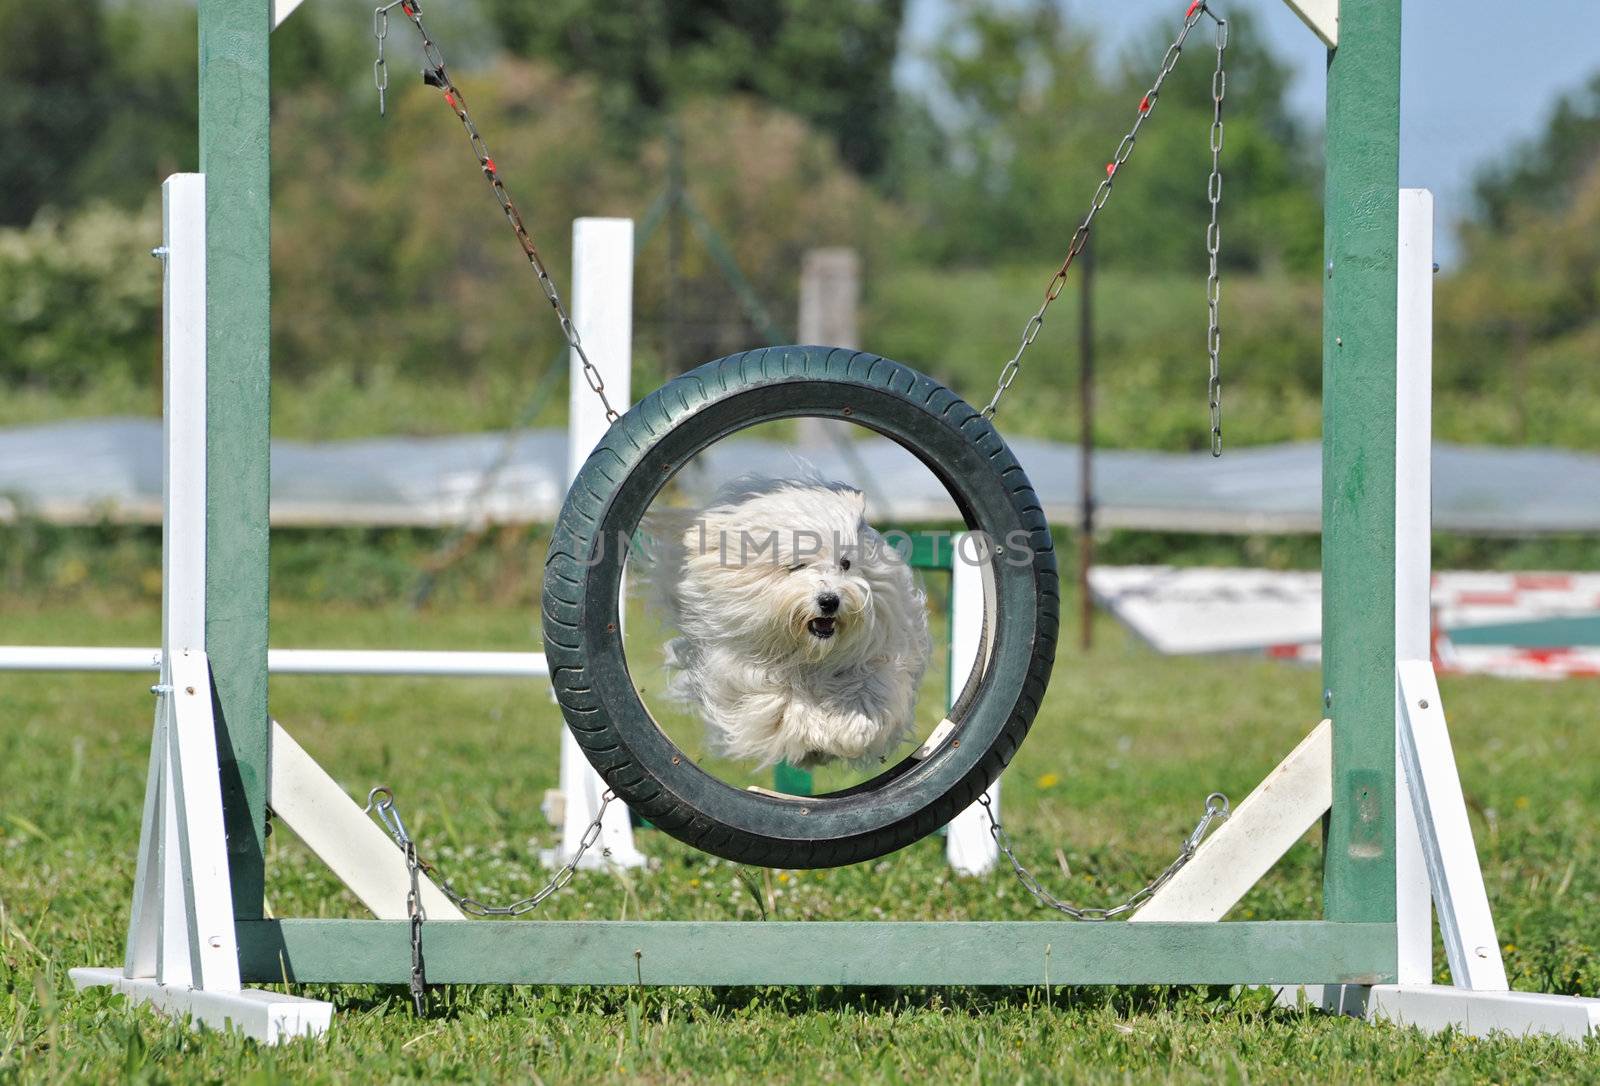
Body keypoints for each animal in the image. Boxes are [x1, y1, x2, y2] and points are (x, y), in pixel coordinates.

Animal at [646, 476, 934, 774]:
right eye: (796, 565)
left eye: (845, 563)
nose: (830, 600)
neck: (806, 652)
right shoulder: (745, 675)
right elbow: (782, 704)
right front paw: (816, 729)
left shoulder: (880, 653)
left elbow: (870, 687)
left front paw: (851, 728)